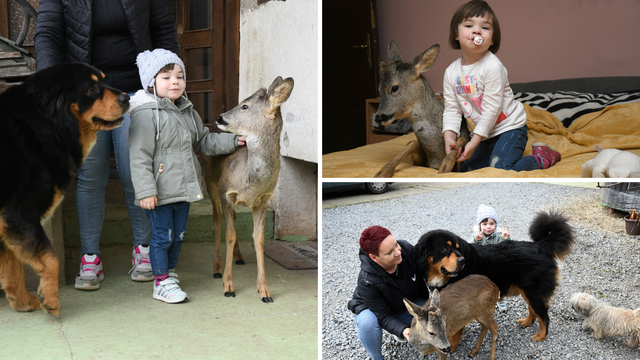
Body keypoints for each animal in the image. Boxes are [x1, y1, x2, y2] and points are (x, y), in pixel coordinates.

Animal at [0, 63, 129, 314]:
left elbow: (13, 269)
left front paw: (22, 301)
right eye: (91, 88)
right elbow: (51, 259)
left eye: (104, 80)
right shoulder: (20, 214)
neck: (43, 124)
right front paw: (50, 299)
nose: (127, 97)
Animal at [200, 76, 296, 304]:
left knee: (232, 219)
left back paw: (239, 257)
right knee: (217, 221)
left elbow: (258, 239)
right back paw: (217, 267)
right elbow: (229, 235)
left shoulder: (264, 200)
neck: (252, 181)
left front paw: (265, 291)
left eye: (245, 106)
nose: (219, 117)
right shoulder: (226, 192)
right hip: (211, 182)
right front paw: (228, 286)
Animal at [370, 42, 470, 177]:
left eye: (395, 87)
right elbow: (411, 143)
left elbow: (462, 140)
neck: (437, 154)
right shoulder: (420, 161)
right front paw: (382, 173)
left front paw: (445, 167)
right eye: (379, 89)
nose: (379, 117)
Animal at [416, 212, 576, 342]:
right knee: (534, 311)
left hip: (534, 292)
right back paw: (527, 322)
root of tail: (541, 246)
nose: (462, 261)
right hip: (528, 291)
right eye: (444, 248)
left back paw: (541, 336)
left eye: (457, 248)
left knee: (544, 316)